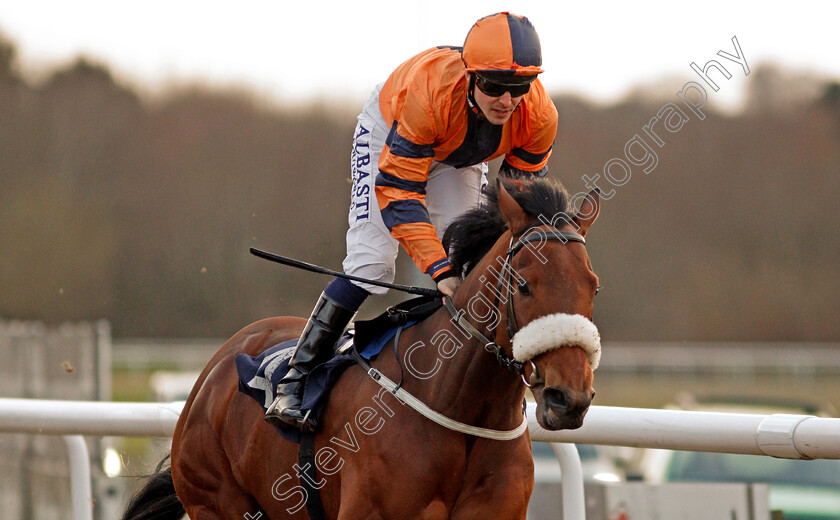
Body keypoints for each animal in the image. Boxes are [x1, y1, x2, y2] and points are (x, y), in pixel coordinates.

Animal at [123, 179, 596, 520]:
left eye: (593, 287)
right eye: (525, 285)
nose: (568, 398)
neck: (459, 406)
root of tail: (215, 369)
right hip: (216, 498)